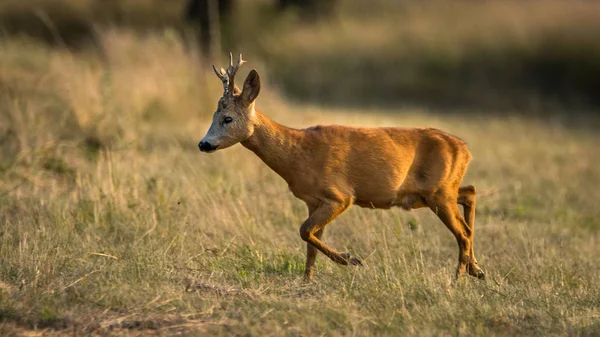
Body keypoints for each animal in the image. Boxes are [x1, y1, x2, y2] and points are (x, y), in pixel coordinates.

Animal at [199, 53, 486, 280]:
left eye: (227, 118)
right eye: (214, 115)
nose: (203, 144)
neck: (298, 154)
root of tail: (465, 149)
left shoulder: (340, 195)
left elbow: (304, 231)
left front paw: (350, 259)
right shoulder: (313, 200)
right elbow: (310, 243)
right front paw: (307, 280)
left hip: (438, 193)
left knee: (462, 231)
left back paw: (458, 279)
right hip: (439, 190)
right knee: (470, 196)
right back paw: (477, 270)